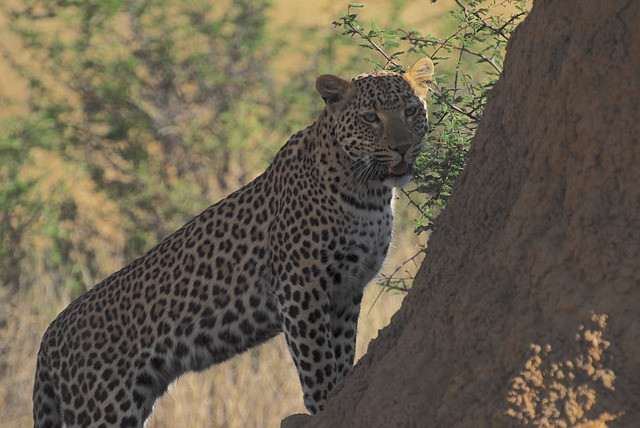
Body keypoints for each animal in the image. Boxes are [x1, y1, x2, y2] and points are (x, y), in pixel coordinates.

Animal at [32, 57, 432, 428]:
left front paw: (342, 390)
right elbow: (317, 360)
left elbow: (342, 350)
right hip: (105, 407)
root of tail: (50, 335)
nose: (402, 148)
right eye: (370, 118)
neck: (369, 192)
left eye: (411, 111)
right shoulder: (299, 287)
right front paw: (324, 407)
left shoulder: (348, 290)